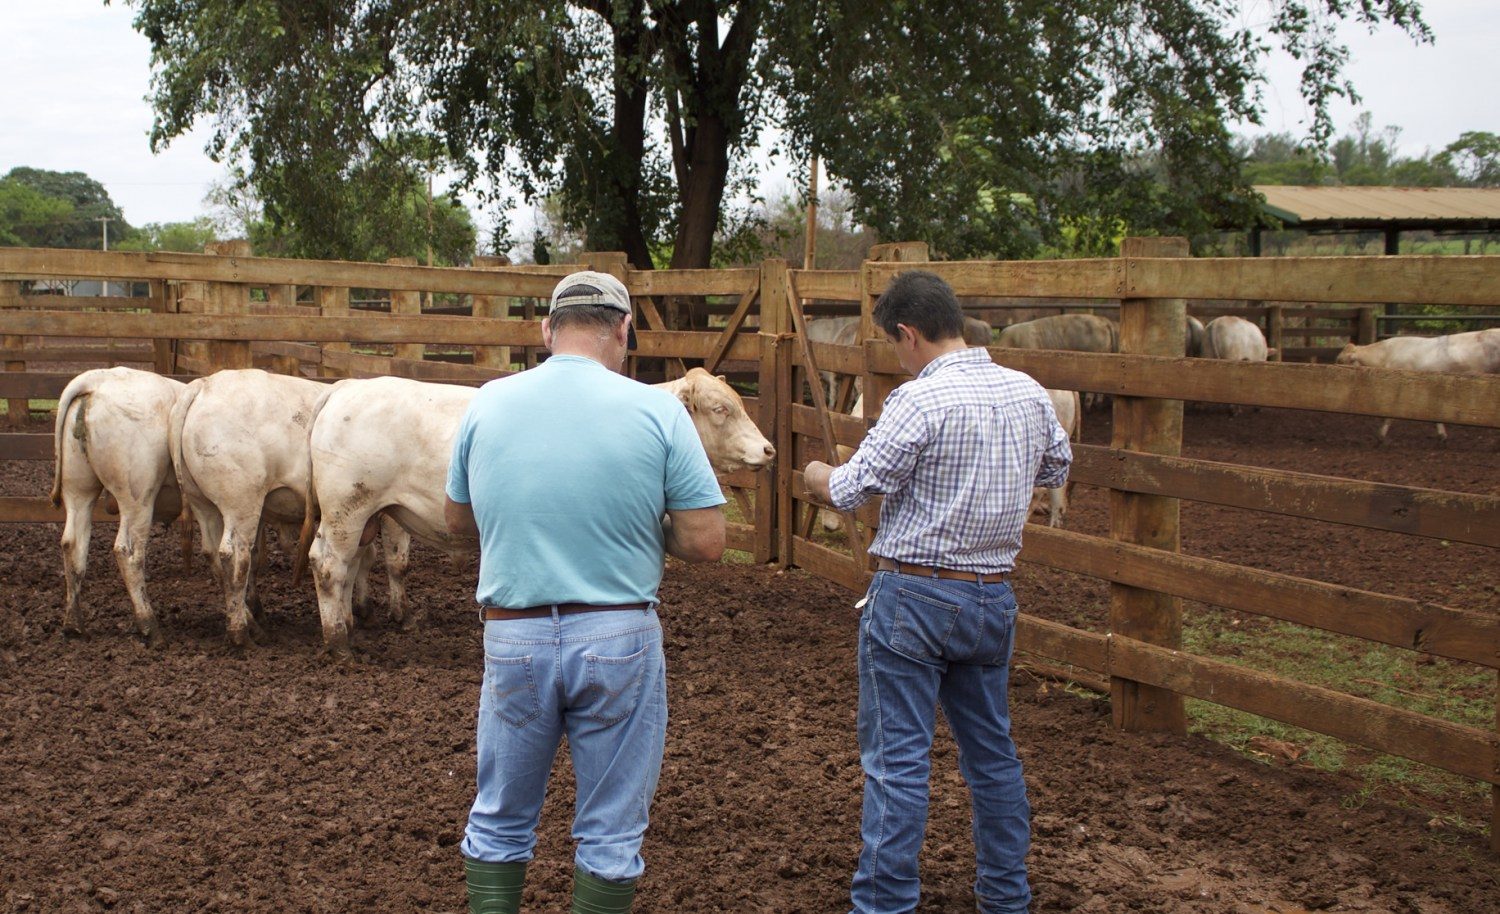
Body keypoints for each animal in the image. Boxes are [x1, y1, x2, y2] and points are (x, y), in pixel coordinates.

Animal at [51, 367, 186, 645]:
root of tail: (96, 379)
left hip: (79, 490)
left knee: (72, 545)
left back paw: (74, 625)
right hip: (138, 498)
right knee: (128, 553)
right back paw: (150, 626)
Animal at [170, 367, 402, 645]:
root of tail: (203, 385)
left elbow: (362, 558)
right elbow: (393, 561)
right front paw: (395, 613)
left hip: (203, 504)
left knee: (214, 553)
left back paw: (252, 620)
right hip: (241, 503)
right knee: (234, 558)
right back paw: (243, 634)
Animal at [300, 367, 780, 651]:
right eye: (720, 409)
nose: (768, 449)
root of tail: (345, 388)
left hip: (362, 516)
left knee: (349, 567)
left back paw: (349, 625)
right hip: (348, 508)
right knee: (328, 565)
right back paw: (337, 642)